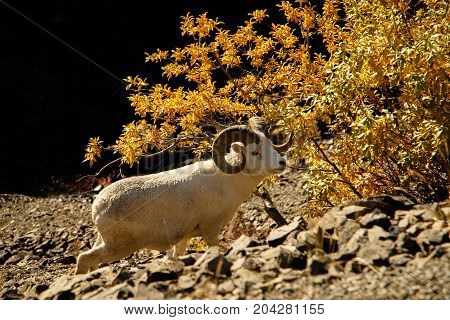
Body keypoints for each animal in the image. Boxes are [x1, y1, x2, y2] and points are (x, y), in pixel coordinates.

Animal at [75, 117, 290, 276]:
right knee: (84, 259)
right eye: (255, 153)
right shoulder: (211, 231)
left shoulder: (183, 238)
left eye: (271, 145)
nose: (282, 162)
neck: (227, 183)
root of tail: (98, 208)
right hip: (119, 247)